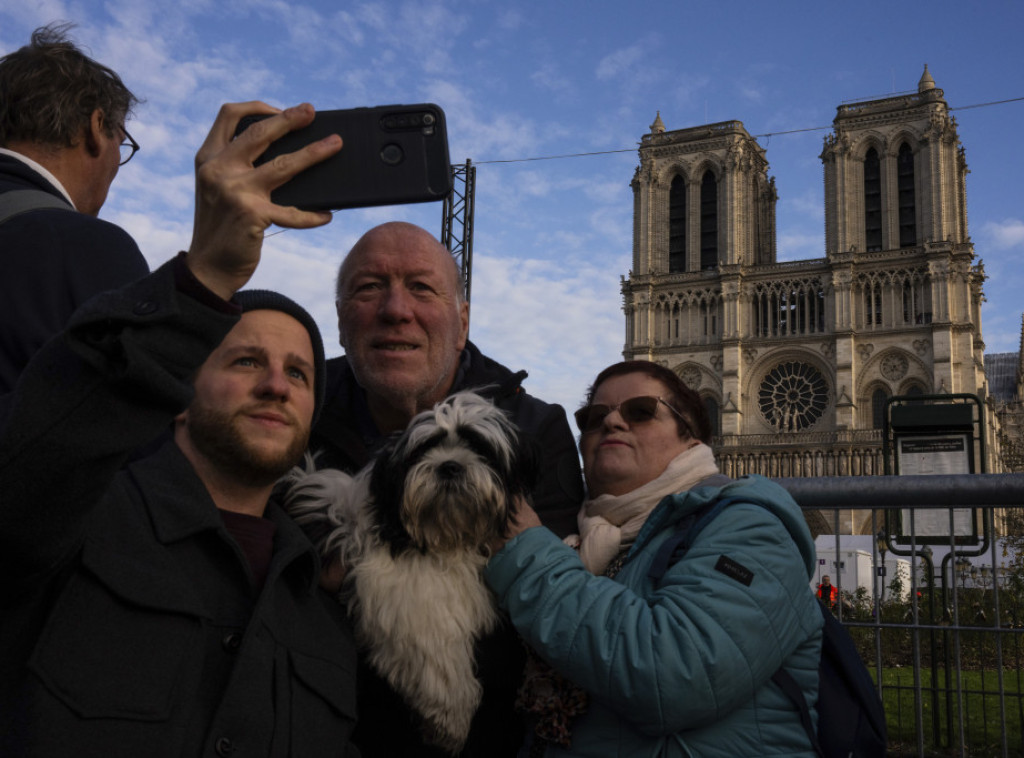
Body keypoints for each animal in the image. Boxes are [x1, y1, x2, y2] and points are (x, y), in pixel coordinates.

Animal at [280, 391, 536, 753]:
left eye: (480, 448)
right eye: (422, 450)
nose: (450, 466)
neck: (440, 537)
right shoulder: (403, 595)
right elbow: (437, 649)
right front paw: (451, 719)